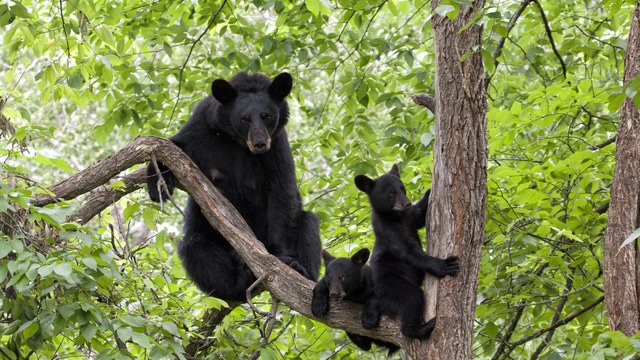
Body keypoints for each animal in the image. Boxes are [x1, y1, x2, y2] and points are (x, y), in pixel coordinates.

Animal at [148, 71, 322, 300]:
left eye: (267, 116)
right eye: (244, 119)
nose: (259, 144)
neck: (237, 141)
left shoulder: (277, 145)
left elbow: (282, 191)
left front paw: (284, 260)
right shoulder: (201, 127)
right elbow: (173, 146)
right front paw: (156, 185)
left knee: (308, 223)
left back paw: (301, 270)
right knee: (195, 246)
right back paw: (237, 282)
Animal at [356, 165, 460, 338]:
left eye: (403, 189)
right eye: (391, 193)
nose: (407, 204)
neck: (396, 217)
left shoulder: (410, 218)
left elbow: (419, 215)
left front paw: (429, 191)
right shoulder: (388, 231)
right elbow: (409, 252)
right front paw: (445, 265)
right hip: (390, 283)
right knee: (412, 297)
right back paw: (420, 328)